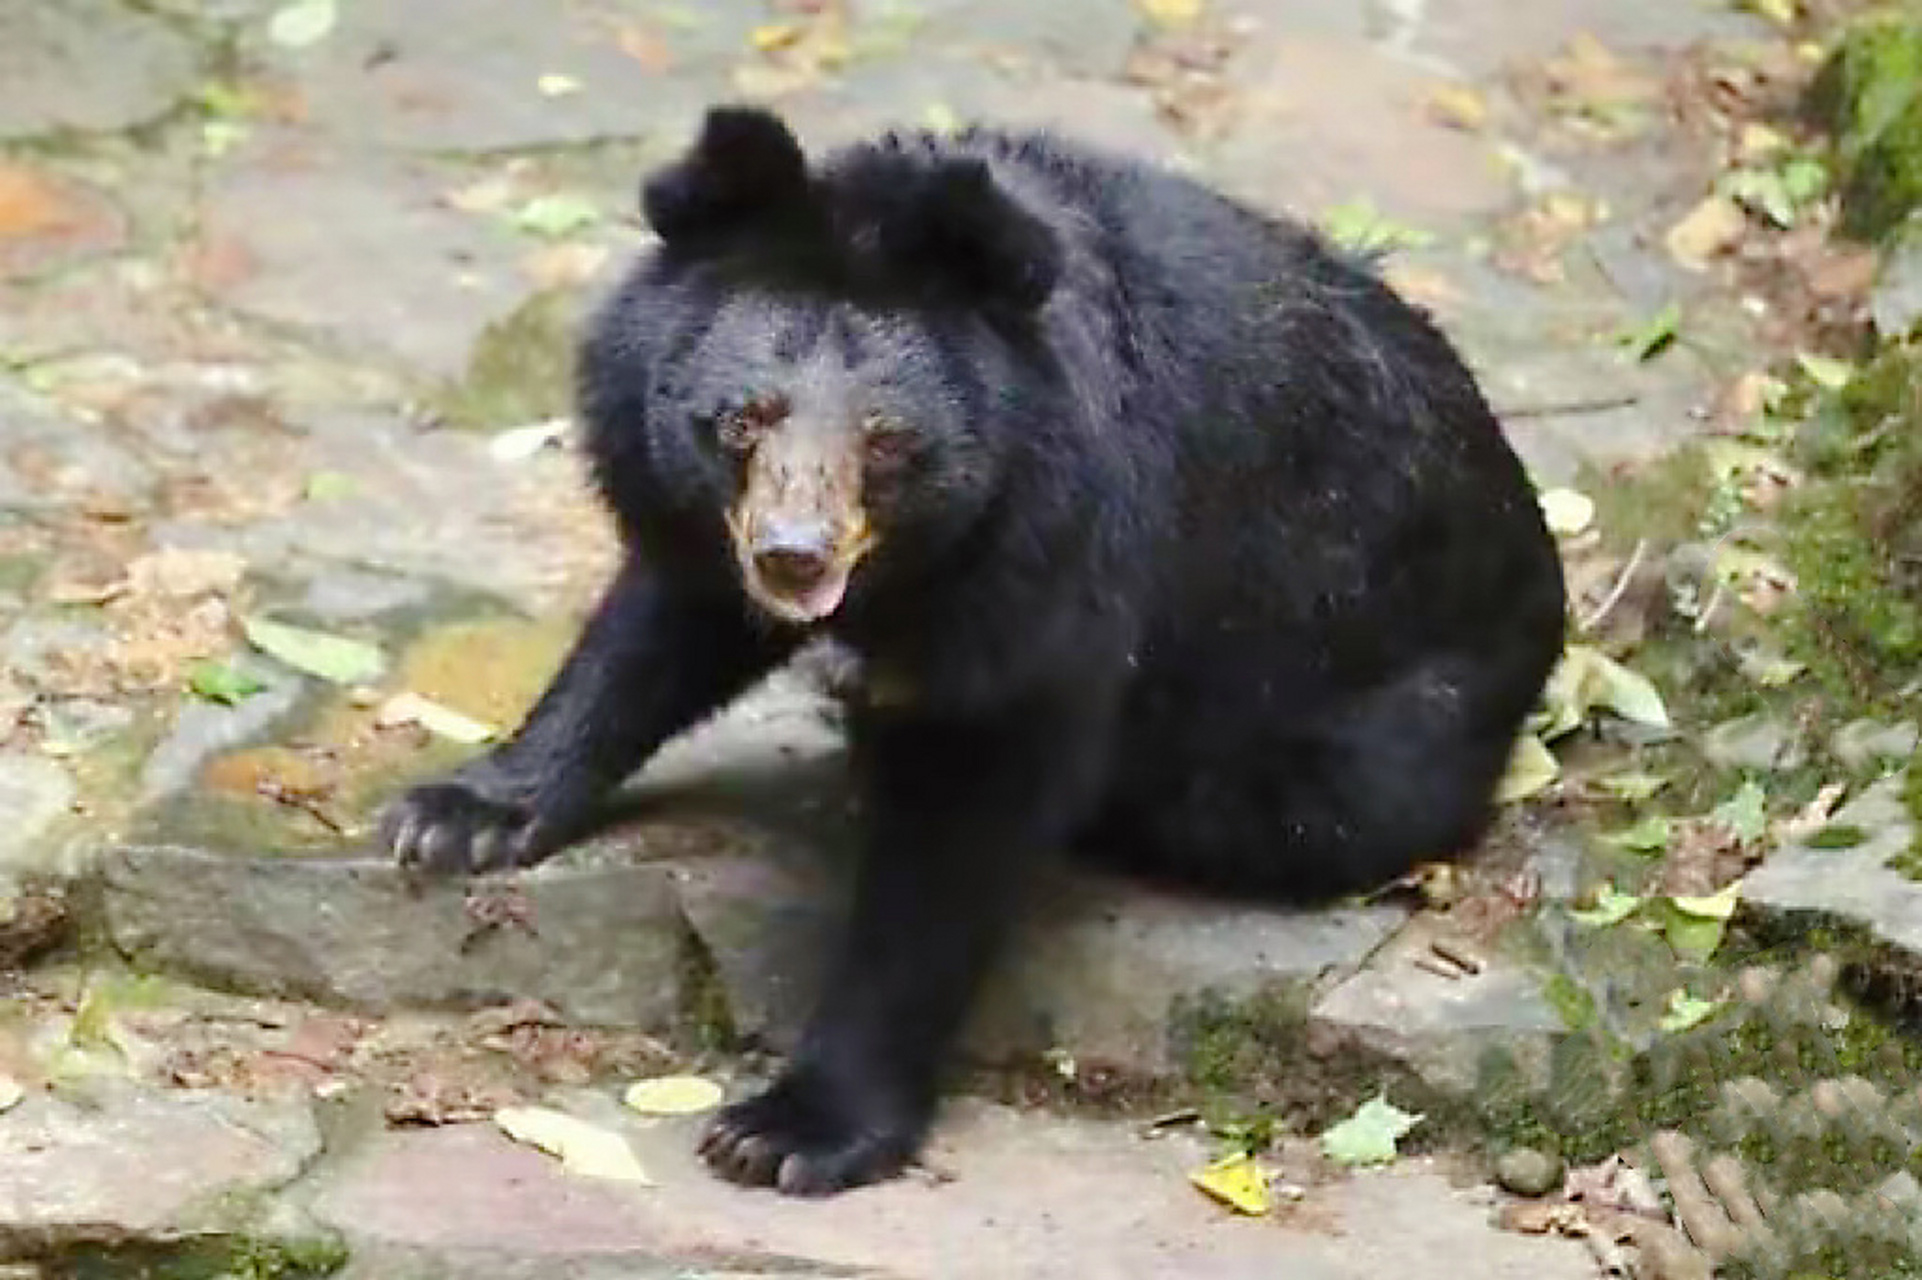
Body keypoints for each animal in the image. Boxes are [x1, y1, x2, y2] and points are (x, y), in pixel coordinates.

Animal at [382, 104, 1568, 1191]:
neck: (915, 566)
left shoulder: (1060, 566)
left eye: (884, 441)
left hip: (1361, 738)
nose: (793, 559)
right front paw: (456, 814)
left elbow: (958, 832)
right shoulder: (689, 503)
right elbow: (657, 626)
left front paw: (790, 1129)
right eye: (742, 419)